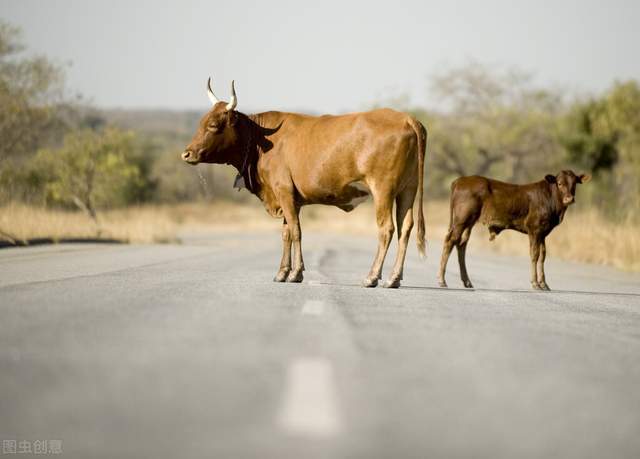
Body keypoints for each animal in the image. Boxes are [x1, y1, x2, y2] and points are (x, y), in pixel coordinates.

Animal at [182, 78, 428, 288]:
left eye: (214, 125)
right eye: (201, 122)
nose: (187, 153)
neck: (262, 141)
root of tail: (406, 118)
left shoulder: (283, 191)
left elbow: (296, 231)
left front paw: (296, 273)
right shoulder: (290, 198)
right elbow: (286, 233)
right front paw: (282, 272)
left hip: (383, 189)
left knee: (386, 228)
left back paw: (372, 277)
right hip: (407, 189)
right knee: (405, 228)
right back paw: (394, 278)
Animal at [440, 171, 592, 290]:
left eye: (574, 183)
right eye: (559, 183)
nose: (569, 199)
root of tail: (459, 181)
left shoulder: (543, 233)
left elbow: (543, 255)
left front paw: (544, 284)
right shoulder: (534, 229)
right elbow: (534, 254)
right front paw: (535, 283)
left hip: (469, 222)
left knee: (461, 245)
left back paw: (467, 281)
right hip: (461, 220)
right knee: (450, 241)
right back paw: (442, 280)